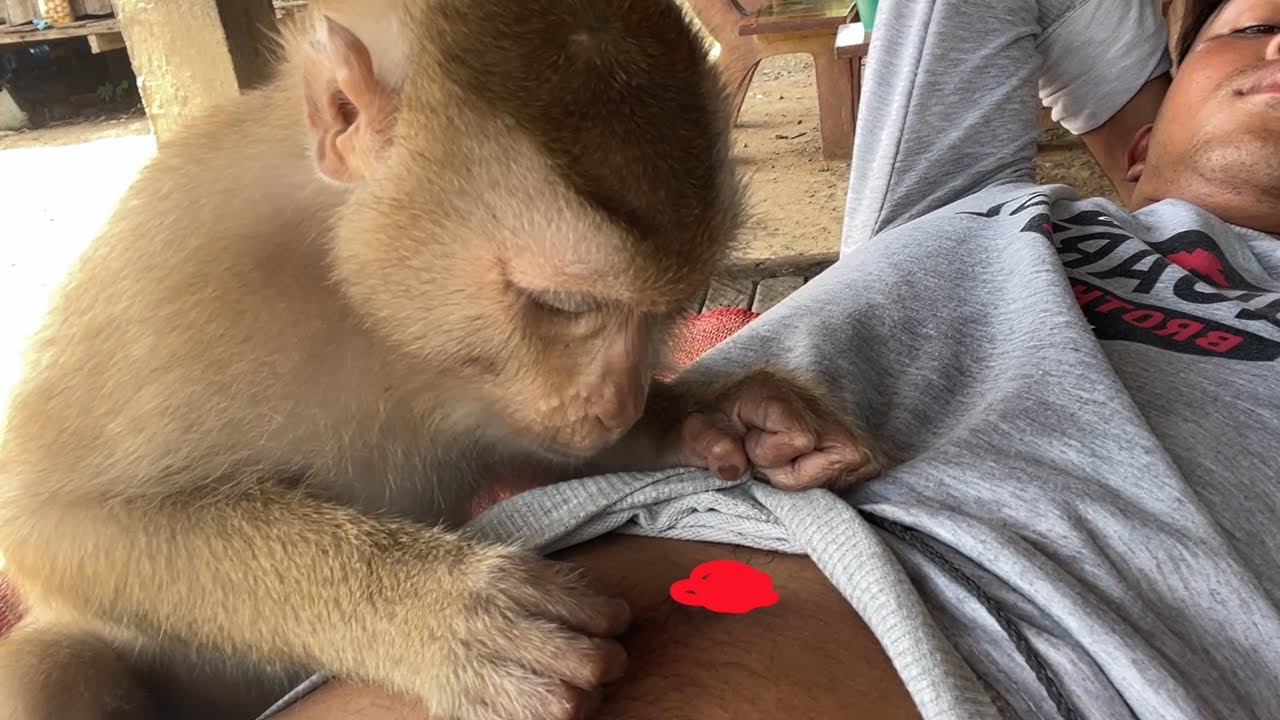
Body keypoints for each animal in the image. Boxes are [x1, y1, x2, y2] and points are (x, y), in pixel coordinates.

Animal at [0, 1, 881, 719]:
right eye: (563, 304)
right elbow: (50, 521)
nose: (619, 400)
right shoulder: (168, 269)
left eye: (666, 311)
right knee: (50, 670)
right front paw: (439, 615)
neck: (358, 294)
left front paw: (725, 418)